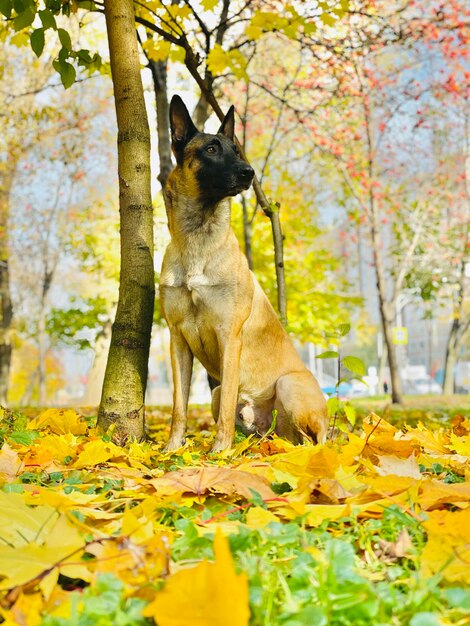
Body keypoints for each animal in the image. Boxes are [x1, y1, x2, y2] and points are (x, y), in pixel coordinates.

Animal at [158, 95, 326, 448]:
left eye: (236, 150)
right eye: (211, 149)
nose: (249, 172)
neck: (197, 239)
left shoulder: (229, 336)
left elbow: (224, 413)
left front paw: (220, 451)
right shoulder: (177, 340)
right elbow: (179, 407)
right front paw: (171, 449)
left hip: (288, 385)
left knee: (317, 440)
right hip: (223, 395)